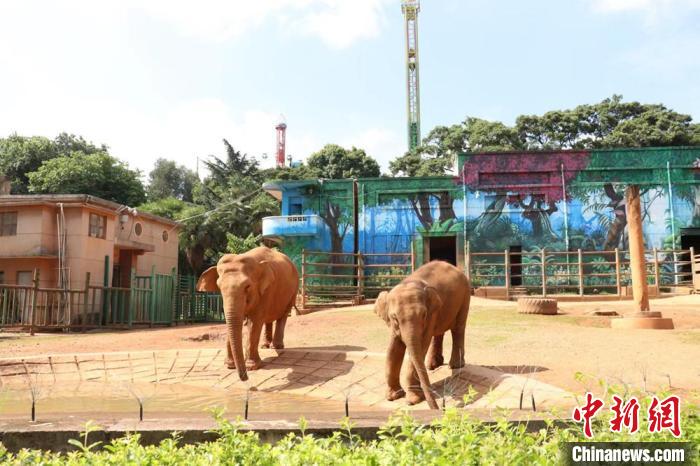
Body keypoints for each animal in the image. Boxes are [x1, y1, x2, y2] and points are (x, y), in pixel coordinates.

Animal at [197, 246, 298, 380]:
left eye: (247, 286)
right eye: (219, 287)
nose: (245, 378)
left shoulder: (265, 291)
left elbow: (255, 322)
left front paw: (251, 367)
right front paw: (229, 365)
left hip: (293, 291)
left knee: (283, 315)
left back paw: (276, 347)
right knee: (269, 318)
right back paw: (265, 346)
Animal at [372, 260, 470, 410]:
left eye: (423, 315)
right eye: (394, 318)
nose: (439, 408)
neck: (409, 282)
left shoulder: (431, 314)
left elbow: (421, 345)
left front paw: (412, 401)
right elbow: (393, 349)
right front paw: (393, 397)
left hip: (465, 295)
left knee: (458, 328)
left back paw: (454, 366)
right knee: (439, 332)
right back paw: (432, 365)